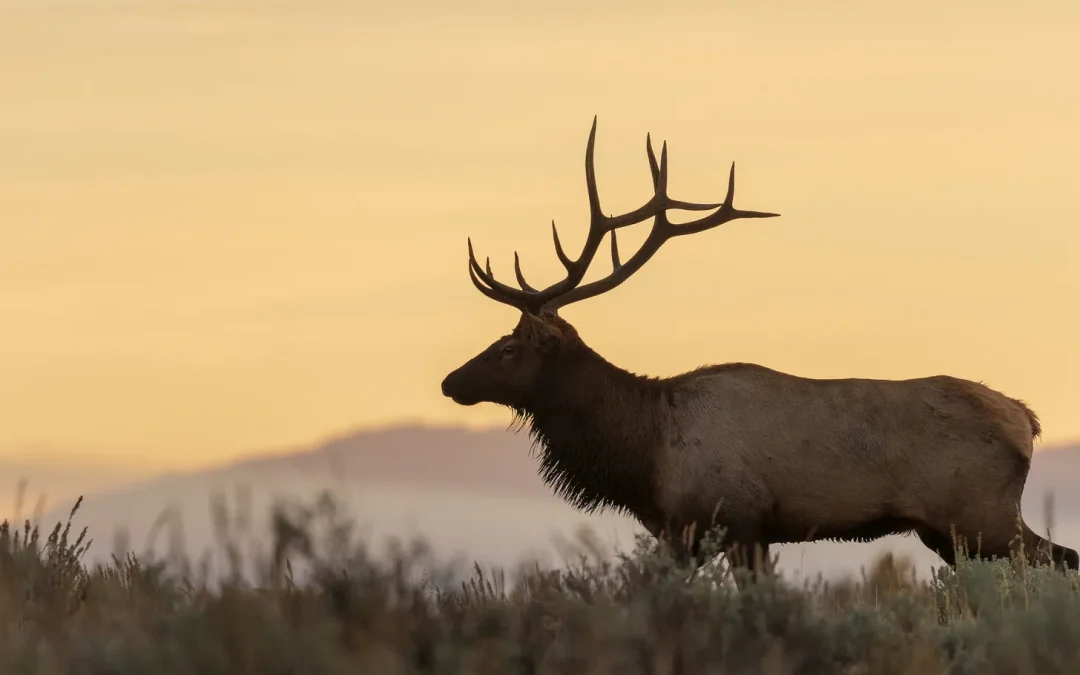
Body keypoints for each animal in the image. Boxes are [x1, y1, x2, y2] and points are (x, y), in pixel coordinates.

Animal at [440, 117, 1079, 583]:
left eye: (509, 347)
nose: (449, 382)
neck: (644, 452)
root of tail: (1027, 420)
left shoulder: (736, 518)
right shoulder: (685, 532)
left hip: (981, 514)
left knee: (1059, 560)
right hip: (949, 531)